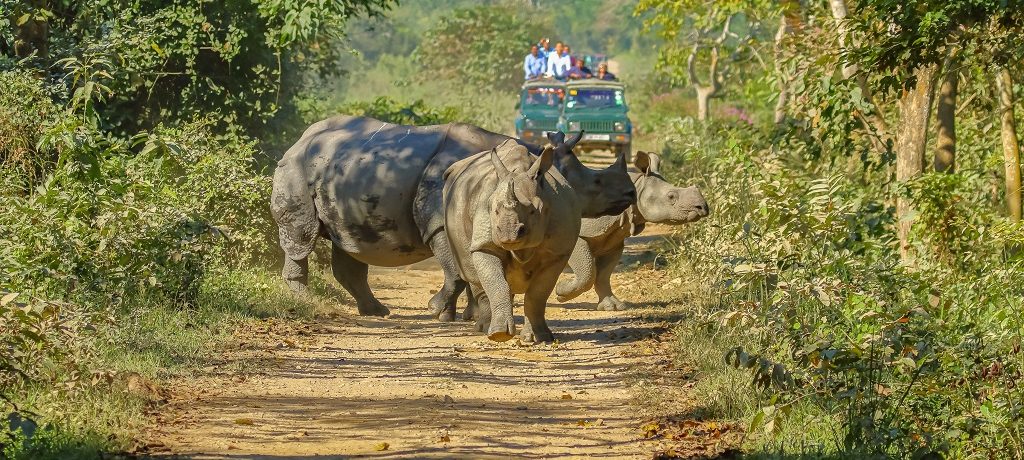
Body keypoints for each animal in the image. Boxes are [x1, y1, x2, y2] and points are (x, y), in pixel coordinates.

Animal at [268, 114, 630, 315]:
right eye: (595, 183)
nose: (628, 196)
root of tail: (298, 141)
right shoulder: (439, 221)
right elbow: (457, 271)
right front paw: (437, 309)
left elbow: (469, 271)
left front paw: (467, 313)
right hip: (296, 170)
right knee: (301, 236)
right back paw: (306, 301)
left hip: (345, 172)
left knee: (349, 244)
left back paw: (377, 312)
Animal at [444, 139, 581, 340]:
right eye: (494, 209)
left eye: (534, 211)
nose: (508, 232)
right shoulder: (484, 243)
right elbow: (494, 280)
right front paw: (500, 334)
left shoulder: (558, 251)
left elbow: (538, 294)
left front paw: (539, 338)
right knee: (473, 271)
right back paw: (486, 328)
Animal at [557, 152, 708, 309]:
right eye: (671, 196)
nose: (702, 207)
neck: (637, 186)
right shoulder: (582, 233)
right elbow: (588, 272)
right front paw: (561, 292)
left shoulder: (614, 241)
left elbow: (603, 275)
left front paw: (613, 307)